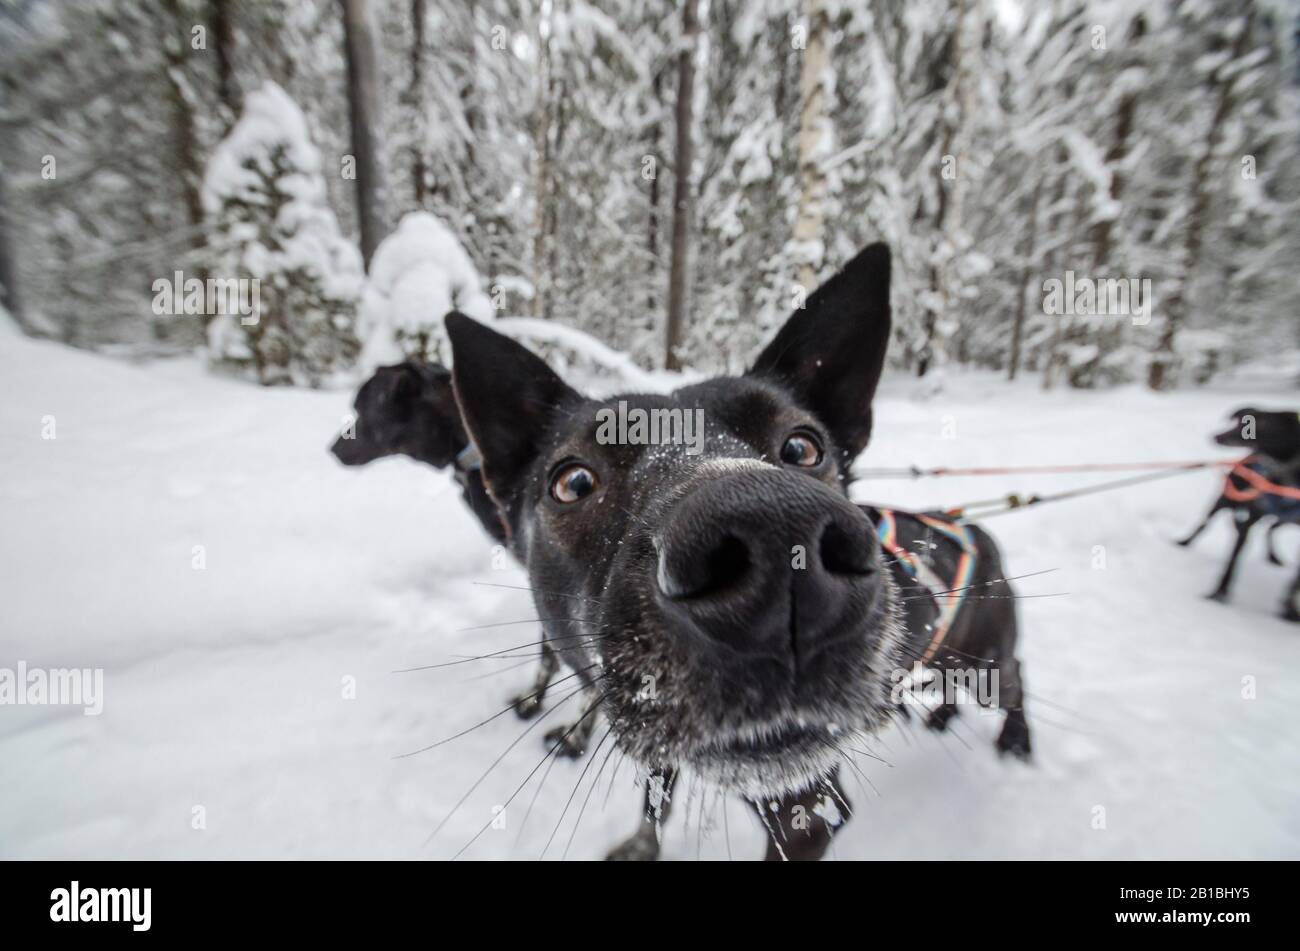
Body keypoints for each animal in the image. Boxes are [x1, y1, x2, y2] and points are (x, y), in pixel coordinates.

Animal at [441, 241, 1029, 857]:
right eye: (573, 482)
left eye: (803, 446)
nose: (779, 537)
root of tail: (976, 531)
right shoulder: (662, 748)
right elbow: (656, 801)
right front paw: (642, 845)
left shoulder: (808, 811)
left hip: (984, 660)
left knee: (1015, 678)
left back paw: (1016, 738)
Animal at [1180, 407, 1300, 615]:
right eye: (1240, 422)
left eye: (1264, 424)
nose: (1217, 436)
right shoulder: (1248, 520)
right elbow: (1232, 562)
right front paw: (1218, 594)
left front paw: (1289, 610)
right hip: (1225, 500)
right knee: (1204, 523)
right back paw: (1183, 542)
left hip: (1279, 518)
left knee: (1271, 528)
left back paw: (1273, 557)